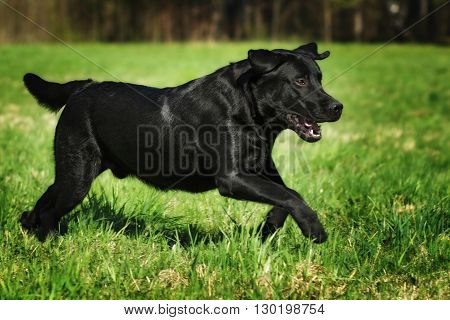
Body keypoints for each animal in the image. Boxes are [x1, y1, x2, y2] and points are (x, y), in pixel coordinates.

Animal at [20, 42, 344, 242]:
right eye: (300, 81)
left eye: (319, 78)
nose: (338, 107)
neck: (248, 107)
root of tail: (81, 88)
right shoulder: (232, 178)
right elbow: (291, 196)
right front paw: (314, 228)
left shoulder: (262, 170)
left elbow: (287, 194)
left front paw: (268, 228)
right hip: (77, 176)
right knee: (49, 211)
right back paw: (50, 244)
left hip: (73, 174)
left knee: (42, 203)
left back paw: (27, 227)